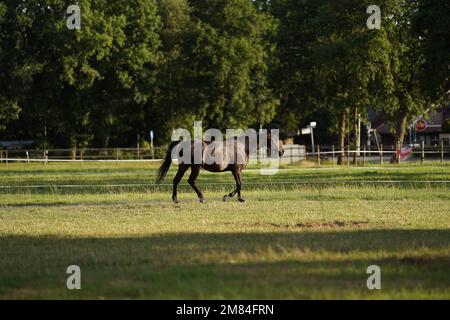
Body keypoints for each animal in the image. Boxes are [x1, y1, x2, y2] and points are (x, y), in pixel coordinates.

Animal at [153, 132, 284, 202]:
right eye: (275, 138)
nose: (282, 152)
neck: (242, 146)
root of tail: (183, 143)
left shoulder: (238, 170)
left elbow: (239, 184)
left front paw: (239, 198)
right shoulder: (235, 170)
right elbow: (239, 184)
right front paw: (227, 196)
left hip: (184, 166)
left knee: (176, 180)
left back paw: (176, 199)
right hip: (194, 167)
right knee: (191, 181)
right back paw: (201, 198)